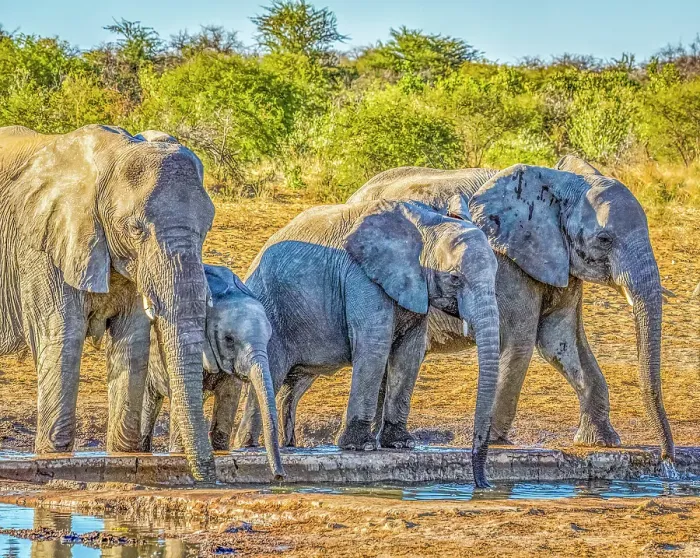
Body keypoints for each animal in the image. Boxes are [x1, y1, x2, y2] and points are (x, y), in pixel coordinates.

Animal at [0, 124, 218, 481]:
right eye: (135, 228)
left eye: (207, 227)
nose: (209, 479)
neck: (110, 159)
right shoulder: (40, 246)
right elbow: (62, 338)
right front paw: (54, 458)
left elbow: (132, 343)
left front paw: (123, 457)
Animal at [139, 264, 284, 478]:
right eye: (229, 339)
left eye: (268, 338)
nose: (279, 476)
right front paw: (178, 454)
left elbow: (229, 395)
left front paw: (221, 451)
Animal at [234, 199, 500, 487]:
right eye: (454, 278)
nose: (483, 484)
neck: (427, 224)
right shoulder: (362, 278)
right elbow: (374, 343)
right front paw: (360, 446)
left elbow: (409, 353)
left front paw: (401, 444)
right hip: (271, 313)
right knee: (271, 374)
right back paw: (247, 447)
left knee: (292, 385)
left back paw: (287, 447)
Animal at [347, 156, 675, 461]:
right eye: (605, 239)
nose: (665, 458)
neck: (561, 185)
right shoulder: (504, 261)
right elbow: (520, 343)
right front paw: (491, 440)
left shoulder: (563, 263)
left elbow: (561, 341)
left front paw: (600, 441)